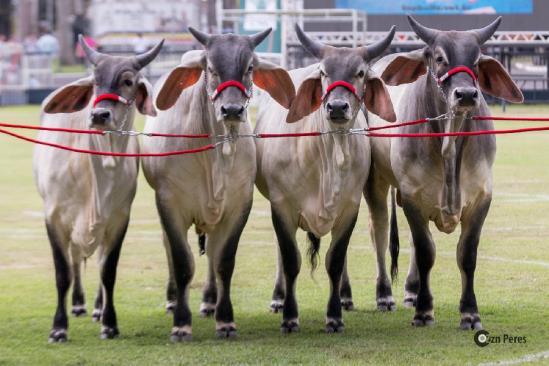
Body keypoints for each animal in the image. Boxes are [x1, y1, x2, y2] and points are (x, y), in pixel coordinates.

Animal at [33, 35, 163, 342]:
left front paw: (109, 322)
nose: (100, 114)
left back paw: (95, 307)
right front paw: (59, 327)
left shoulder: (118, 219)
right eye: (95, 82)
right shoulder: (54, 217)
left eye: (127, 81)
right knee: (74, 259)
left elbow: (108, 271)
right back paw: (78, 304)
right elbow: (63, 273)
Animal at [141, 27, 296, 342]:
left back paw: (210, 301)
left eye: (249, 67)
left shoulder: (238, 204)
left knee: (212, 250)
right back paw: (173, 299)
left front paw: (225, 320)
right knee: (169, 248)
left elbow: (224, 261)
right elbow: (182, 261)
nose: (232, 110)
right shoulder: (169, 203)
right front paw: (181, 323)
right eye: (211, 68)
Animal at [255, 24, 396, 334]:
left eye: (360, 72)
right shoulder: (281, 207)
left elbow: (335, 260)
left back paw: (347, 296)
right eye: (323, 72)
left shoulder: (349, 209)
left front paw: (334, 316)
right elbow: (291, 260)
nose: (338, 107)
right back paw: (277, 298)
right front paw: (289, 316)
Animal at [364, 15, 524, 328]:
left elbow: (466, 255)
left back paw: (411, 291)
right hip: (375, 183)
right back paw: (384, 295)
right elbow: (426, 252)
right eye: (439, 58)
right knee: (379, 231)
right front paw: (424, 311)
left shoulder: (481, 198)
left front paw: (470, 312)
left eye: (476, 61)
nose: (466, 94)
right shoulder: (412, 197)